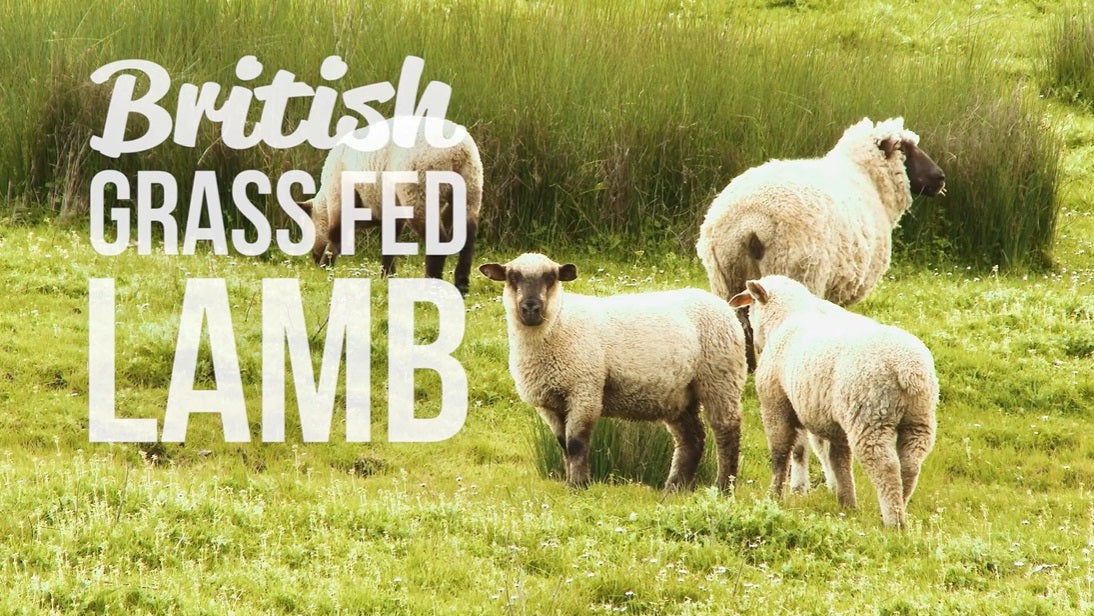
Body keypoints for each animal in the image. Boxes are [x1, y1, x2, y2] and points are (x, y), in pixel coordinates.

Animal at [301, 117, 484, 296]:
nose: (314, 259)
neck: (325, 201)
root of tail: (457, 152)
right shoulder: (390, 209)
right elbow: (390, 241)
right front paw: (388, 276)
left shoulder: (339, 195)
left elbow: (335, 234)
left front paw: (325, 268)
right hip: (470, 186)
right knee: (468, 237)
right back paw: (461, 285)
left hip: (419, 190)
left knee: (438, 239)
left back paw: (432, 284)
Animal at [479, 253, 746, 492]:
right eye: (512, 277)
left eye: (551, 277)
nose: (531, 308)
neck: (559, 324)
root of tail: (721, 304)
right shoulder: (549, 404)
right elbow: (563, 445)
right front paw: (570, 482)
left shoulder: (585, 389)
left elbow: (576, 443)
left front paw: (579, 486)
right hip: (679, 394)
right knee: (692, 439)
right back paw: (676, 488)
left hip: (720, 377)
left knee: (726, 431)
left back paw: (724, 487)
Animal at [696, 117, 946, 369]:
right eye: (904, 148)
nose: (941, 177)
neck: (867, 179)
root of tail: (751, 221)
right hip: (796, 273)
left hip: (727, 277)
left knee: (742, 326)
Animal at [729, 275, 938, 528]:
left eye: (751, 305)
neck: (786, 318)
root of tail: (907, 368)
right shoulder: (833, 422)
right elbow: (839, 460)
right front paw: (847, 502)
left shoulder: (776, 403)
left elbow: (781, 454)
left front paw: (774, 496)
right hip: (919, 419)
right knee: (910, 464)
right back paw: (900, 505)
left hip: (870, 417)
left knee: (886, 467)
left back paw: (893, 521)